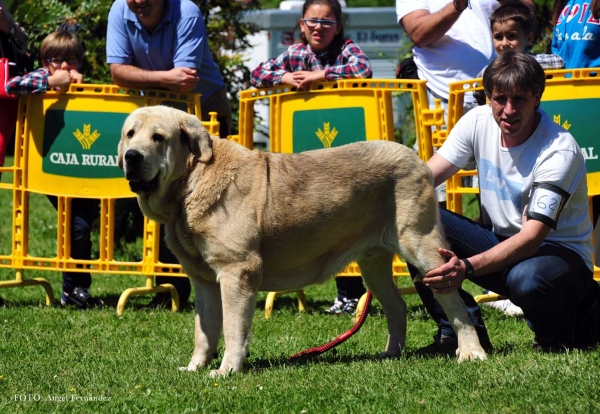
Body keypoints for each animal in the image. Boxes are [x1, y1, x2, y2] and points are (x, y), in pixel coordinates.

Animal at [118, 106, 488, 376]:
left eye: (158, 137)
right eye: (130, 134)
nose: (132, 156)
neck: (191, 184)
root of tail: (418, 159)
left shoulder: (237, 272)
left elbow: (233, 328)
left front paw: (226, 371)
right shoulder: (204, 280)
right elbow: (204, 330)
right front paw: (195, 367)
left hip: (423, 249)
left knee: (454, 301)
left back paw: (471, 352)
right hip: (374, 265)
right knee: (396, 307)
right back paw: (390, 354)